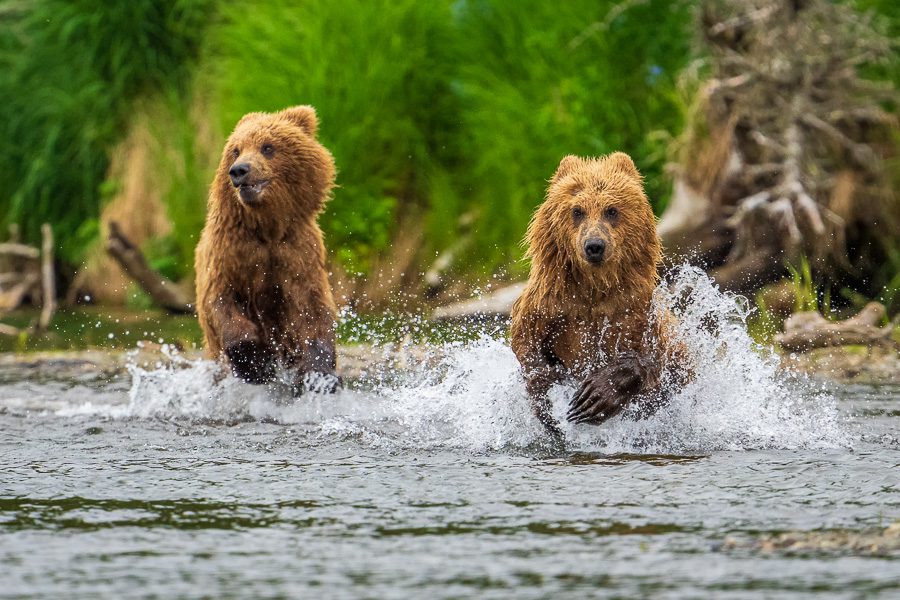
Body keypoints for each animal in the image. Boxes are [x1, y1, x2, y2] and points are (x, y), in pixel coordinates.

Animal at [195, 105, 340, 392]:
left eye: (267, 147)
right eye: (236, 150)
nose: (239, 170)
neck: (267, 227)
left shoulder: (297, 253)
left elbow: (313, 310)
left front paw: (321, 374)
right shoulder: (229, 253)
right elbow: (220, 301)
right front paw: (255, 363)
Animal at [510, 152, 684, 438]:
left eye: (611, 210)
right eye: (577, 210)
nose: (594, 246)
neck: (593, 288)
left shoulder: (632, 310)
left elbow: (649, 357)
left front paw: (596, 396)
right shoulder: (549, 305)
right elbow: (526, 343)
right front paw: (548, 394)